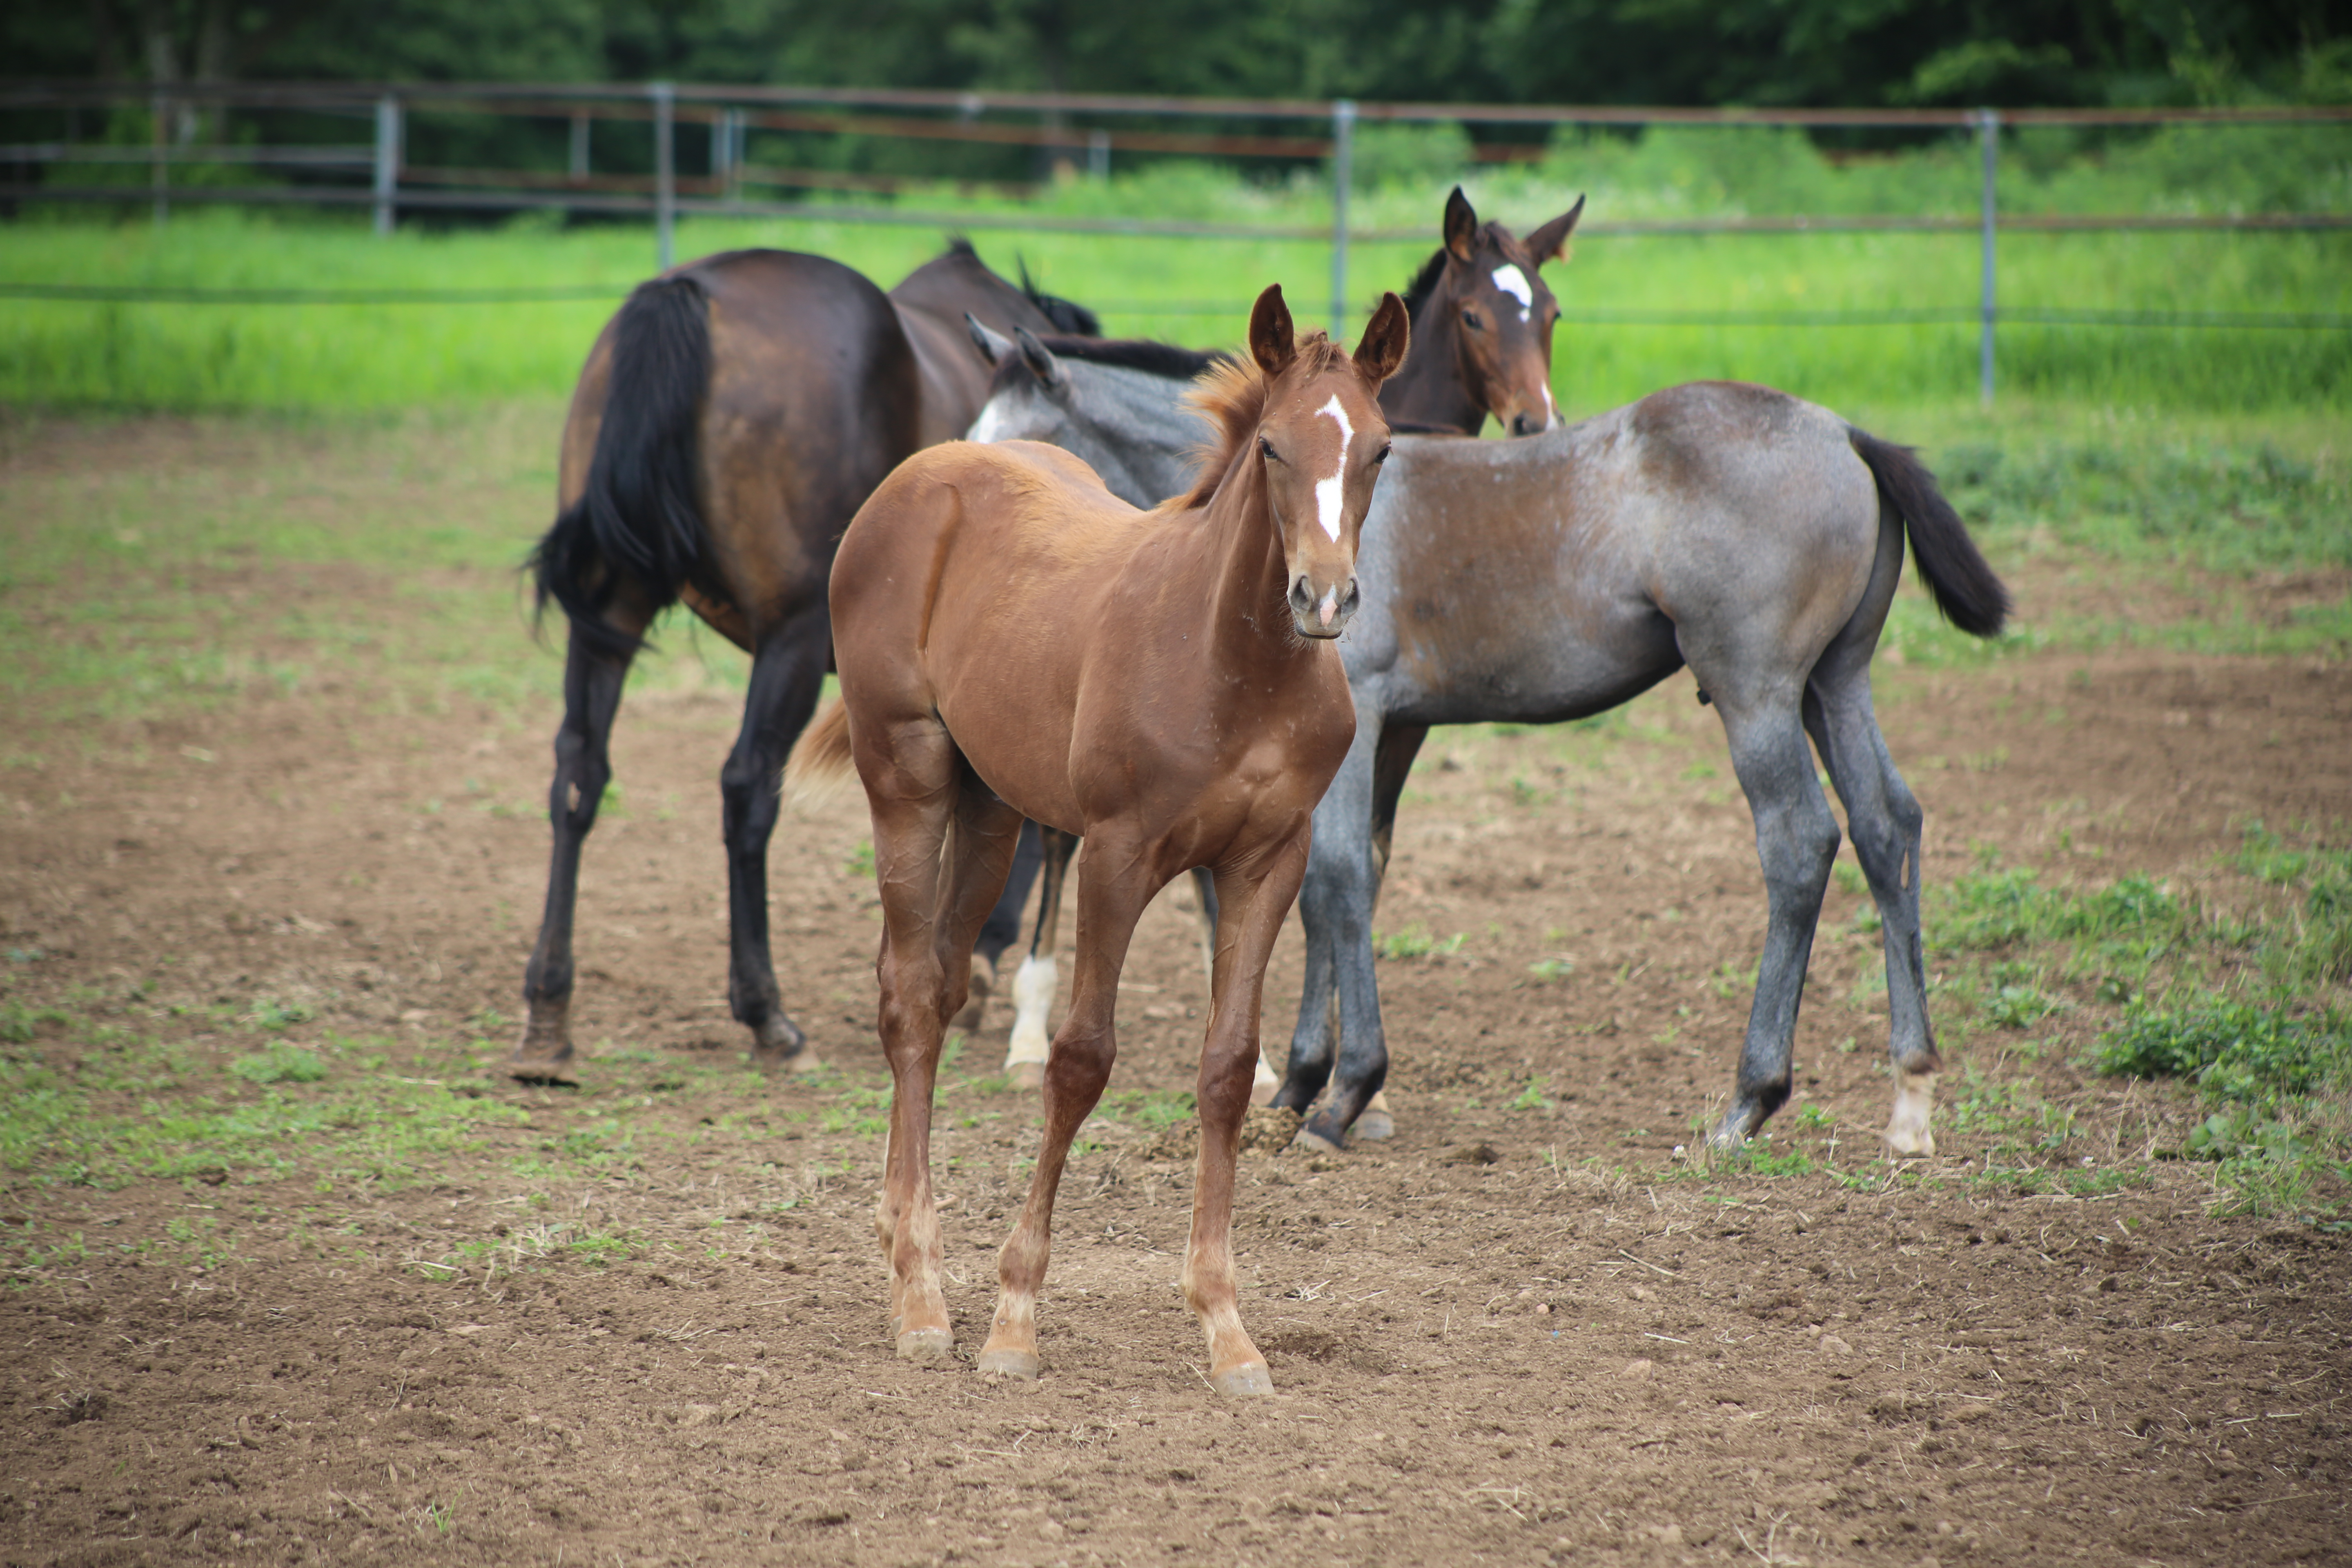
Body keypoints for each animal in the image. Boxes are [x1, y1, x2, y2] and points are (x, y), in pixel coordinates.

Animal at [512, 240, 1091, 1086]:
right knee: (748, 787)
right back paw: (767, 1014)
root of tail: (690, 290)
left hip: (610, 616)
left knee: (577, 775)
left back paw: (548, 1016)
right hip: (788, 636)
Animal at [800, 288, 1401, 1392]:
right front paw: (1013, 1317)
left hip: (992, 806)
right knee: (904, 995)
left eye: (1379, 448)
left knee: (938, 986)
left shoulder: (1268, 862)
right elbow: (1080, 1061)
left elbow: (1225, 1070)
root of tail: (923, 472)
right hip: (904, 776)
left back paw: (903, 1237)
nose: (1324, 599)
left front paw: (1226, 1327)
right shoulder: (1118, 858)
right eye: (1270, 447)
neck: (1232, 662)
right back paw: (920, 1294)